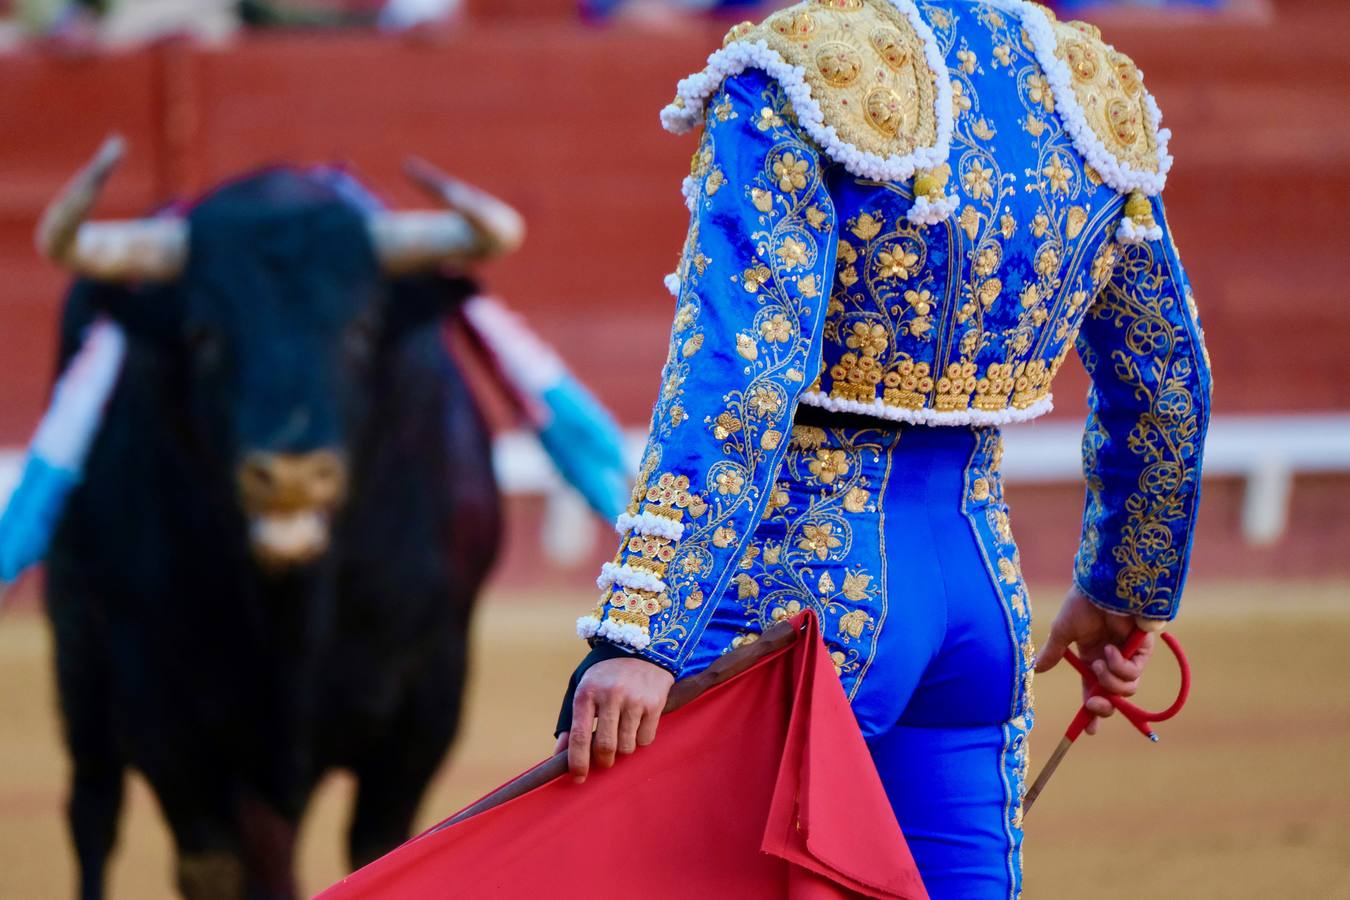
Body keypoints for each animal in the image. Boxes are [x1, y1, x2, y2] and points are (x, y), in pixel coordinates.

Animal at [47, 170, 504, 900]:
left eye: (363, 326)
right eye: (202, 331)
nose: (290, 473)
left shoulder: (426, 703)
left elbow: (384, 847)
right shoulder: (162, 711)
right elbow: (213, 865)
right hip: (78, 646)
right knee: (94, 808)